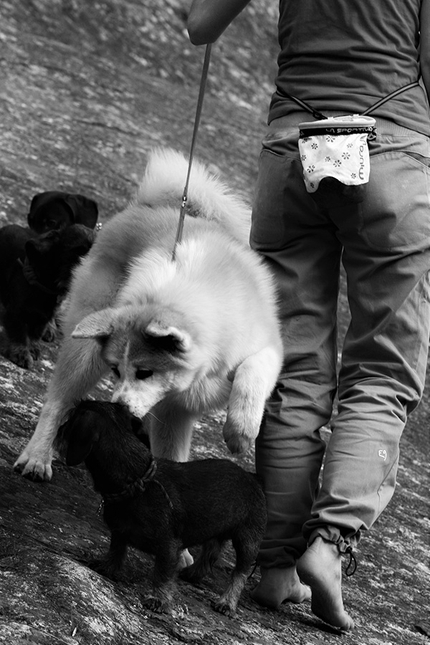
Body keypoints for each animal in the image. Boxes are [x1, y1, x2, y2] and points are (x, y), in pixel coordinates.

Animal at [0, 223, 95, 368]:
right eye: (77, 252)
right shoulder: (15, 312)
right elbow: (19, 333)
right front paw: (21, 353)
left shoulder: (43, 315)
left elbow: (35, 333)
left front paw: (33, 347)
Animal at [14, 150, 282, 478]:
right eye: (115, 371)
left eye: (144, 372)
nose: (120, 410)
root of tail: (146, 206)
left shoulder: (267, 348)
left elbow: (253, 370)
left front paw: (240, 431)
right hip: (86, 348)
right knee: (57, 401)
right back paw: (37, 457)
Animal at [57, 400, 266, 616]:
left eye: (70, 419)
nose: (58, 430)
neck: (137, 480)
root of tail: (252, 477)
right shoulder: (119, 532)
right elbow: (116, 550)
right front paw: (107, 567)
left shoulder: (168, 546)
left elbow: (162, 574)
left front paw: (158, 599)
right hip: (217, 526)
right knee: (211, 552)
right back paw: (193, 573)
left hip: (248, 539)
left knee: (240, 572)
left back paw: (227, 602)